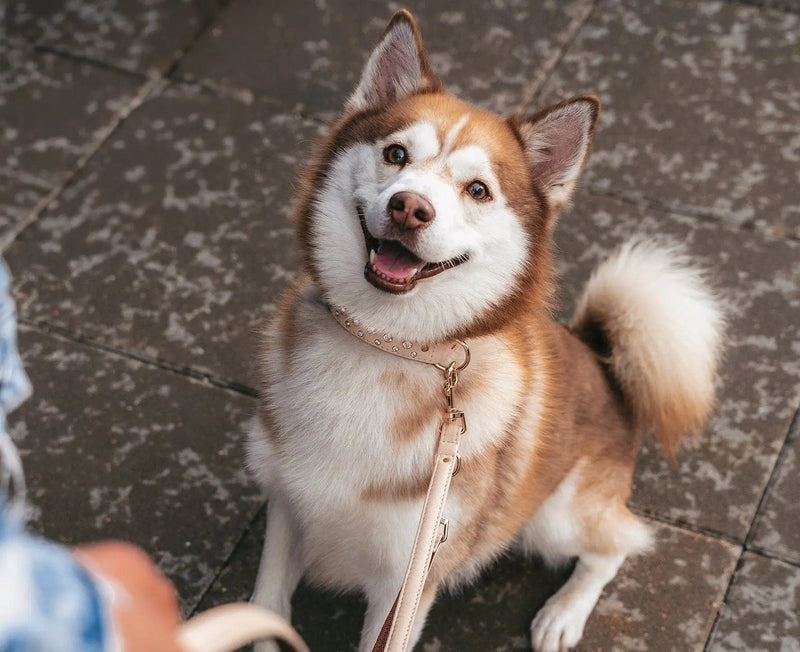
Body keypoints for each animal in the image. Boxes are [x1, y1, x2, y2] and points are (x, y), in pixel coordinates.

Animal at [245, 11, 724, 652]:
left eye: (478, 189)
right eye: (395, 154)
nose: (409, 208)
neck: (385, 347)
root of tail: (600, 359)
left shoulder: (410, 576)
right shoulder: (288, 506)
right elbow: (266, 603)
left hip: (556, 517)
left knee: (616, 545)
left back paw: (563, 615)